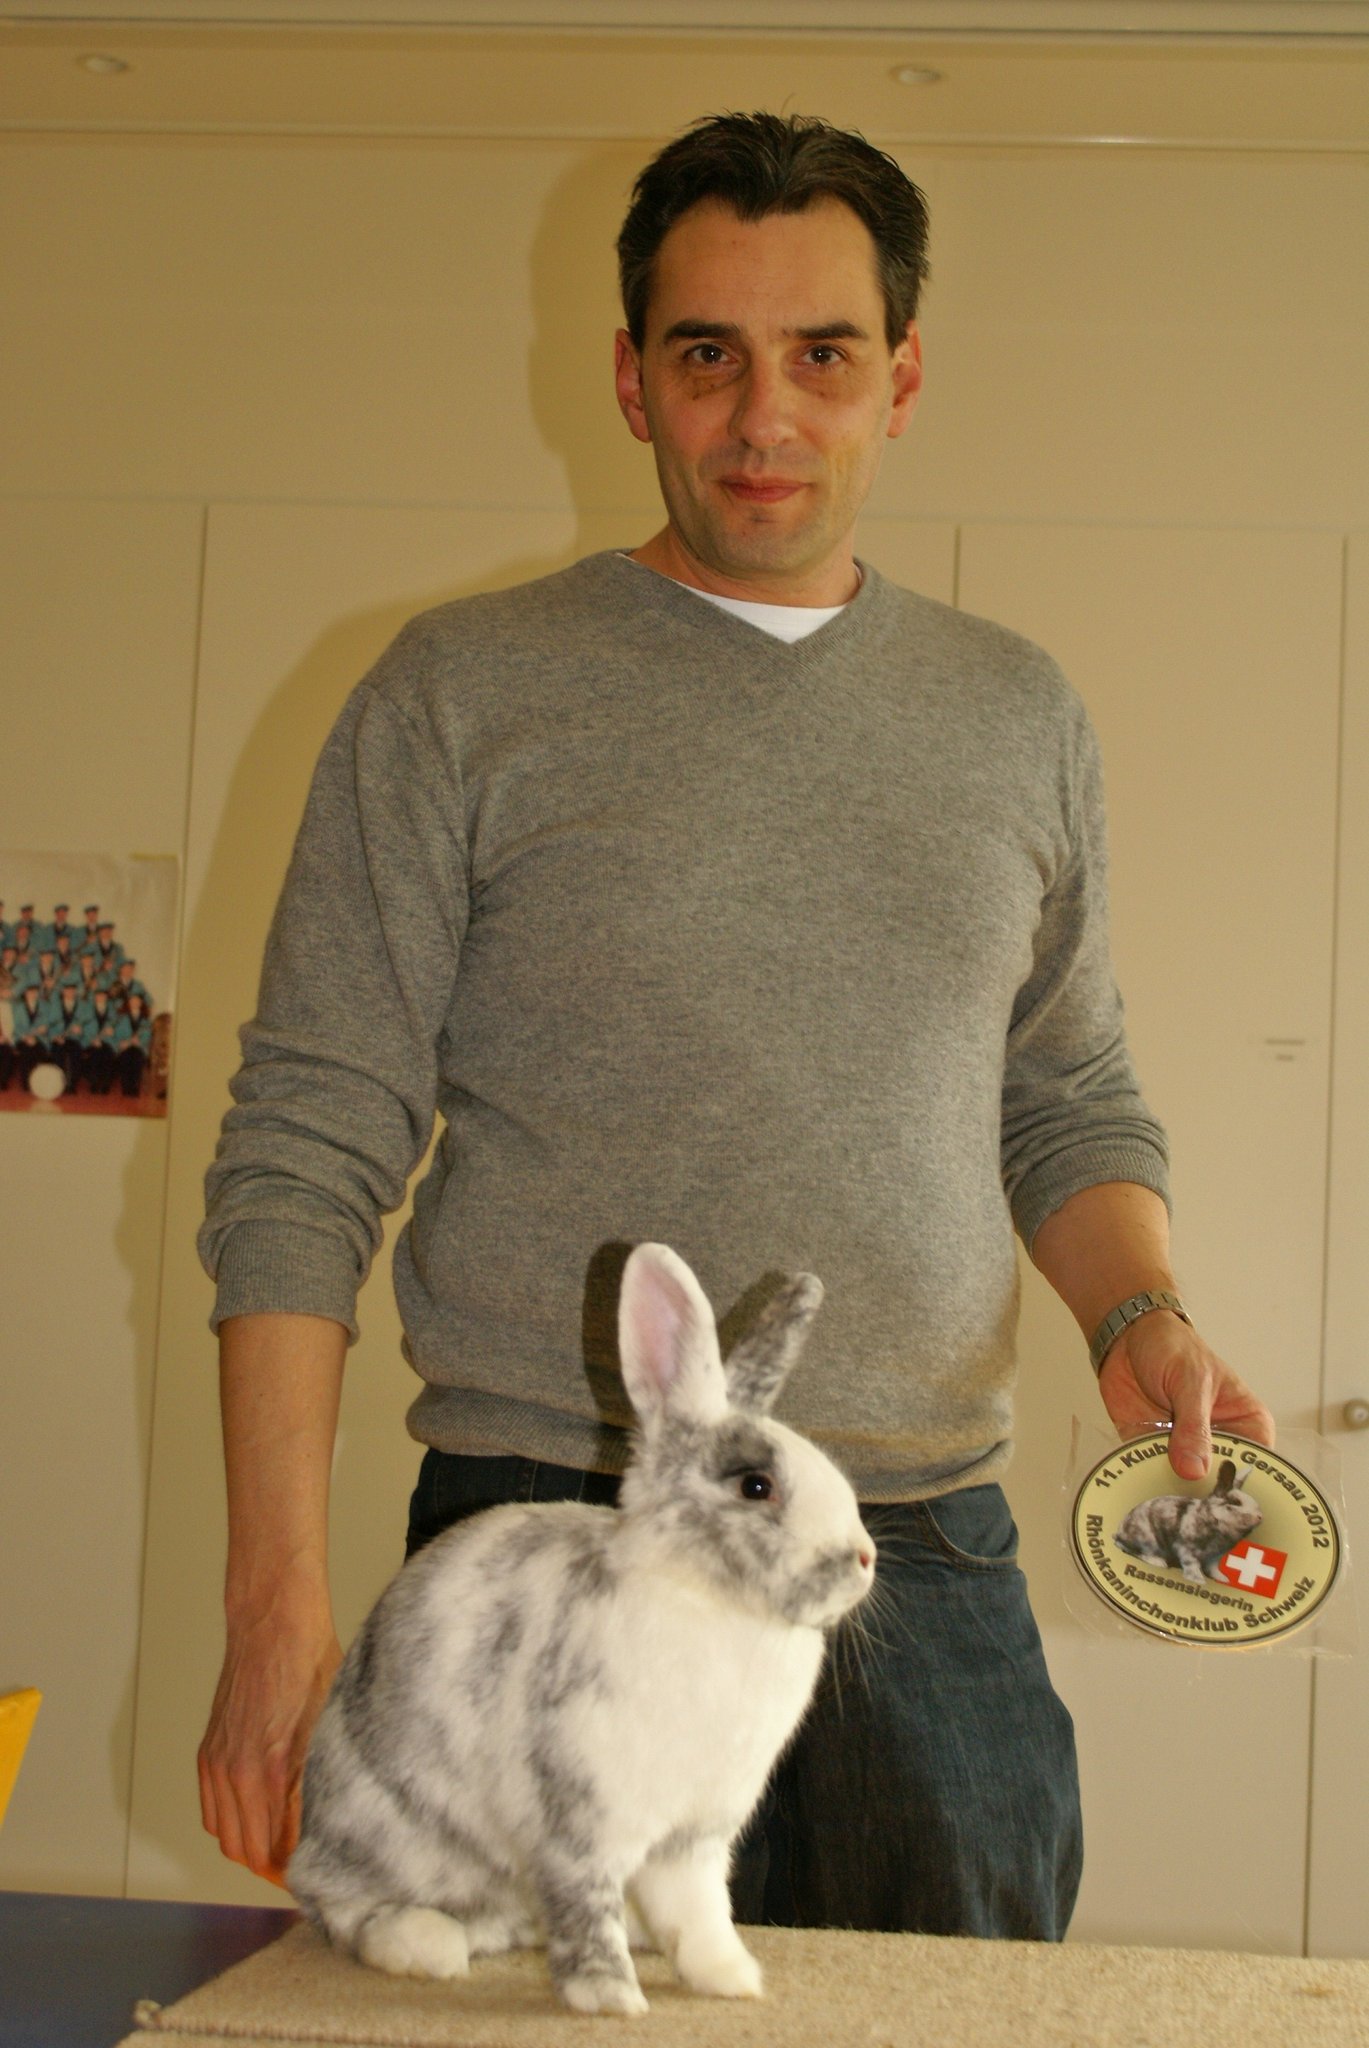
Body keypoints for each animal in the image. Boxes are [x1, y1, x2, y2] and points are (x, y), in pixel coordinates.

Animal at [287, 1241, 876, 2018]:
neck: (714, 1602)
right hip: (385, 1835)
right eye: (756, 1486)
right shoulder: (578, 1816)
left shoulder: (694, 1837)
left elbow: (701, 1913)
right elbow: (584, 1904)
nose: (864, 1559)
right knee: (343, 1908)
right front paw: (609, 1999)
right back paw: (422, 1946)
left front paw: (731, 1980)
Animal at [1113, 1458, 1261, 1584]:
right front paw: (1198, 1580)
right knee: (1130, 1549)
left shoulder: (1214, 1557)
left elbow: (1213, 1569)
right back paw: (1158, 1562)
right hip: (1147, 1540)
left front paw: (1223, 1579)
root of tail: (1119, 1532)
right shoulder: (1186, 1548)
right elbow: (1192, 1564)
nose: (1260, 1517)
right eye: (1235, 1502)